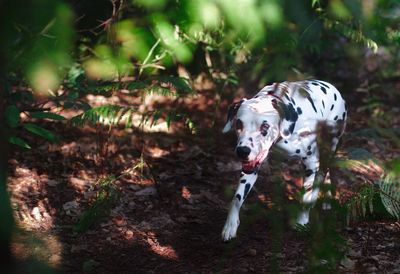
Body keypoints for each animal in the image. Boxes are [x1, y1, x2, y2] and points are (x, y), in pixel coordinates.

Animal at [220, 80, 346, 241]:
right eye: (238, 124)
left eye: (265, 126)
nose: (242, 151)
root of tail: (332, 87)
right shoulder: (251, 168)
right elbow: (236, 199)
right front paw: (230, 225)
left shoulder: (311, 163)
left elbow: (305, 198)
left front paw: (302, 221)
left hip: (330, 145)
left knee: (323, 172)